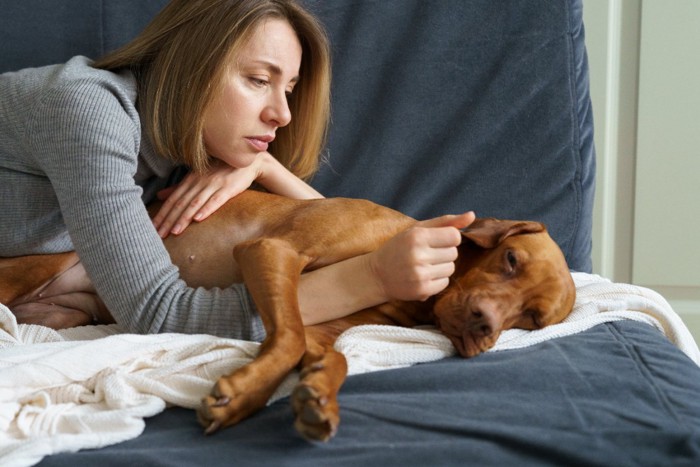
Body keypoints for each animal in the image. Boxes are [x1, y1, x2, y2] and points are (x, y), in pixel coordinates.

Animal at [0, 190, 576, 442]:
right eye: (510, 259)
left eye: (532, 319)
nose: (483, 324)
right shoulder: (271, 252)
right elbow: (290, 337)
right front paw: (242, 394)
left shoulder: (327, 325)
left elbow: (330, 355)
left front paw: (316, 395)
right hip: (32, 270)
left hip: (64, 310)